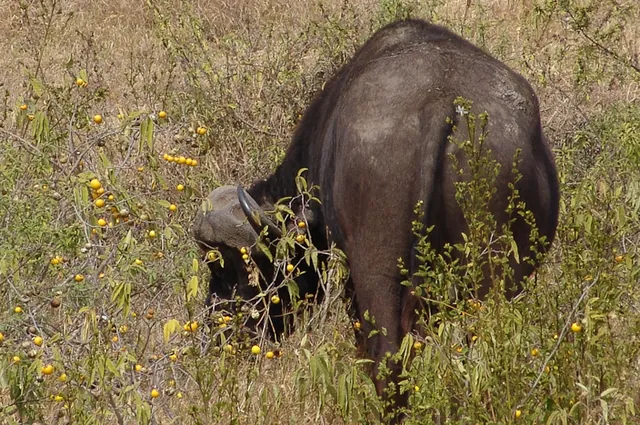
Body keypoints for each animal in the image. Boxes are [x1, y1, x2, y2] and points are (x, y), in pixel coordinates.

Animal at [193, 18, 559, 419]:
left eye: (231, 270)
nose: (218, 334)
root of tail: (443, 103)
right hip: (491, 276)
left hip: (376, 276)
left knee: (387, 363)